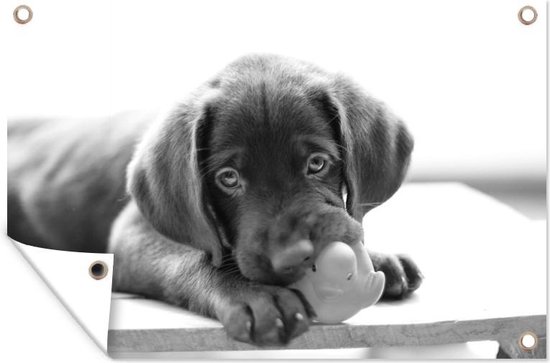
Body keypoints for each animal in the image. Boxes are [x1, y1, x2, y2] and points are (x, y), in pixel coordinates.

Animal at [7, 54, 422, 346]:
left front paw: (381, 258)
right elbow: (192, 259)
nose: (295, 257)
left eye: (317, 163)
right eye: (228, 179)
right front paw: (257, 296)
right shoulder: (131, 234)